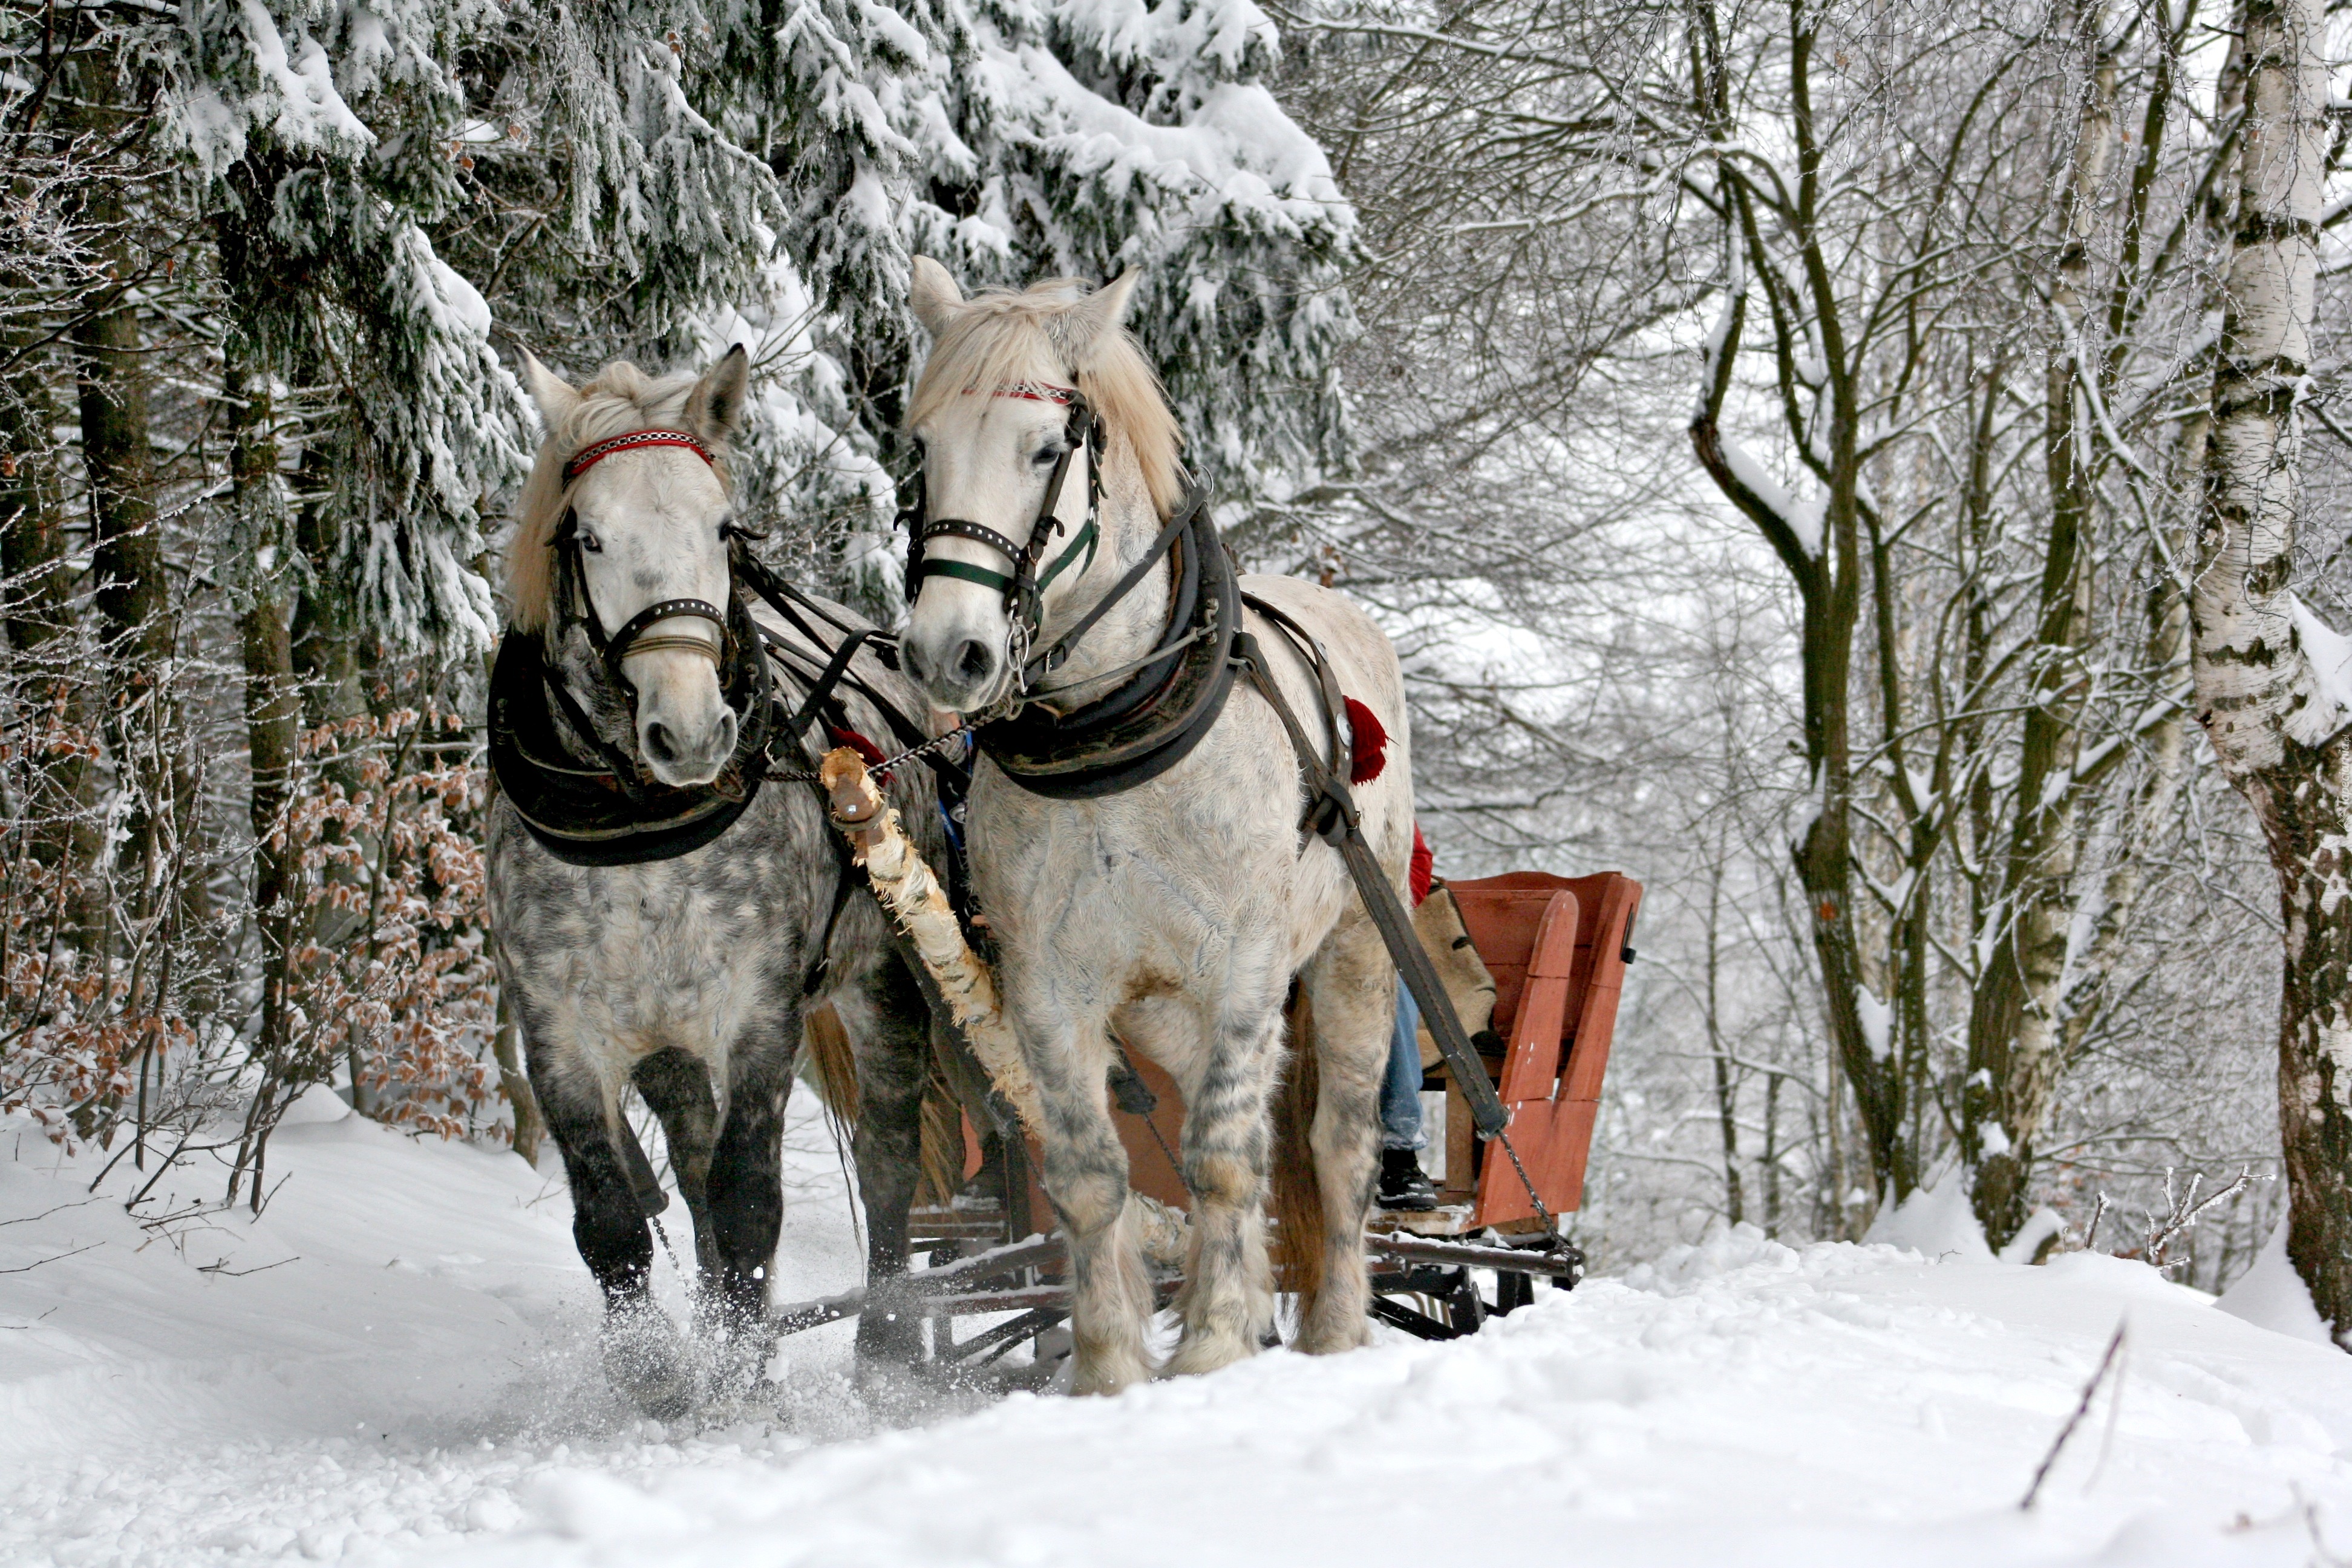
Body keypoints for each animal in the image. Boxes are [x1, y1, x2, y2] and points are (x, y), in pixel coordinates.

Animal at [893, 263, 1411, 1391]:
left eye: (1046, 449)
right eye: (922, 448)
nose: (947, 653)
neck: (1114, 732)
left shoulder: (1248, 966)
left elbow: (1220, 1155)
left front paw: (1212, 1343)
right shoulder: (1048, 984)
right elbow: (1093, 1172)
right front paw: (1110, 1366)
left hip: (1353, 950)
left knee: (1333, 1142)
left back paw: (1335, 1327)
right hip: (1166, 1007)